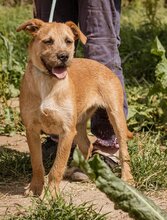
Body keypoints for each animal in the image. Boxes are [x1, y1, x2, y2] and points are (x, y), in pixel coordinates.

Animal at [17, 18, 134, 197]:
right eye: (48, 41)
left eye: (68, 41)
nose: (64, 56)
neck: (48, 82)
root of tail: (103, 66)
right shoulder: (32, 130)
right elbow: (36, 163)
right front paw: (35, 187)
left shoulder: (66, 131)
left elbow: (57, 167)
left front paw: (52, 194)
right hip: (78, 124)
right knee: (87, 145)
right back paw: (75, 169)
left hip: (115, 116)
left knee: (123, 150)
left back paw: (127, 178)